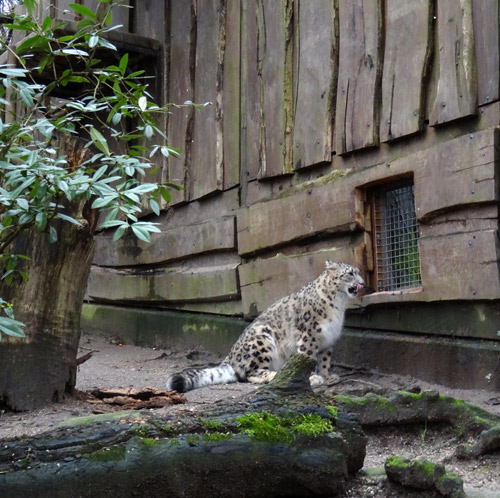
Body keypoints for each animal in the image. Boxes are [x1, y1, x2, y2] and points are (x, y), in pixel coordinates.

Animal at [166, 260, 366, 392]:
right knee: (251, 373)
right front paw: (313, 378)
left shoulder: (328, 338)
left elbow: (324, 360)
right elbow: (308, 357)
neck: (339, 305)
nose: (363, 283)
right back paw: (275, 375)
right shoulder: (308, 335)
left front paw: (326, 376)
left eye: (358, 272)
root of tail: (230, 357)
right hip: (261, 338)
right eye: (350, 273)